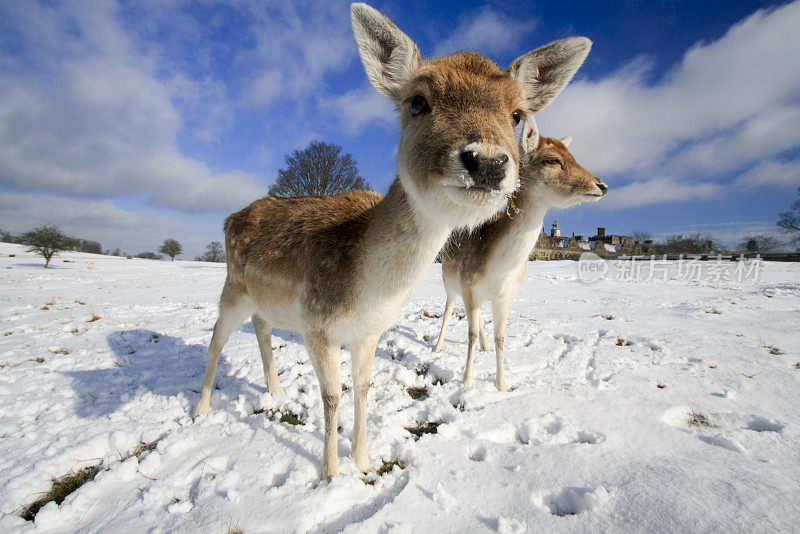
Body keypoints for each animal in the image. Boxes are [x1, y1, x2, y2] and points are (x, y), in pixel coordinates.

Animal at [434, 119, 608, 392]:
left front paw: (501, 384)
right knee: (449, 308)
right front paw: (467, 381)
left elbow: (500, 337)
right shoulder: (469, 286)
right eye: (552, 160)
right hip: (449, 281)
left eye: (573, 156)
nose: (601, 185)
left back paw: (484, 346)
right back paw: (437, 347)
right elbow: (469, 334)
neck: (498, 269)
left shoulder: (506, 295)